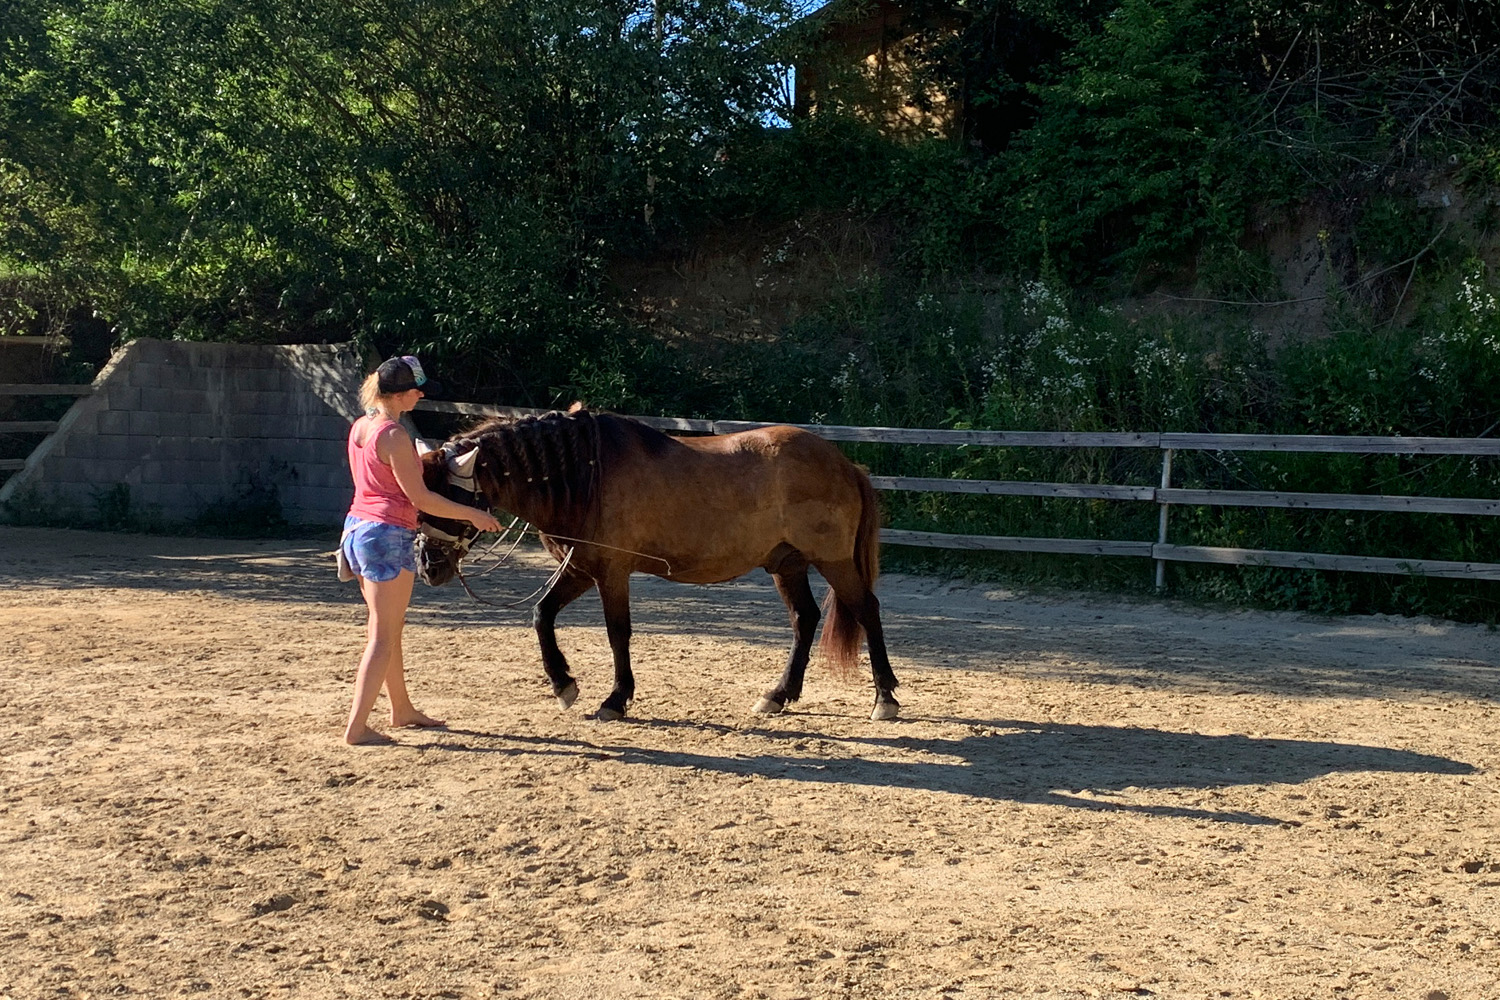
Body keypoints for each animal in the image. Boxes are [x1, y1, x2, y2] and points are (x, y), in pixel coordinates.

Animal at [413, 406, 899, 722]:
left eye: (447, 497)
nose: (428, 567)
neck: (586, 474)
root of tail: (845, 464)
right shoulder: (581, 569)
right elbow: (541, 615)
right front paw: (564, 685)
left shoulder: (611, 573)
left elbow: (617, 634)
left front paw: (615, 699)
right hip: (787, 563)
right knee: (805, 619)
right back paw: (778, 695)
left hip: (832, 560)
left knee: (867, 611)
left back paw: (885, 699)